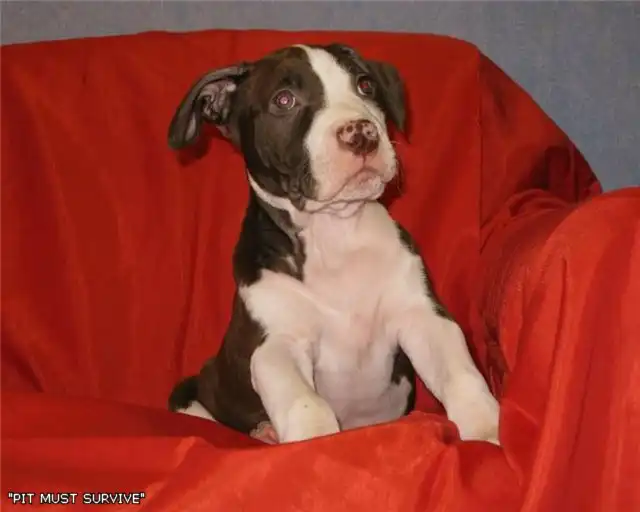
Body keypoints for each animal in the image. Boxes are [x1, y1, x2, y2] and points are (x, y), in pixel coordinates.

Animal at [167, 43, 500, 445]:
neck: (335, 234)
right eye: (284, 100)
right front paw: (315, 441)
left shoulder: (423, 316)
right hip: (194, 391)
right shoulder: (276, 343)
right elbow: (305, 402)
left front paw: (486, 431)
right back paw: (265, 432)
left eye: (365, 85)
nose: (362, 133)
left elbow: (463, 375)